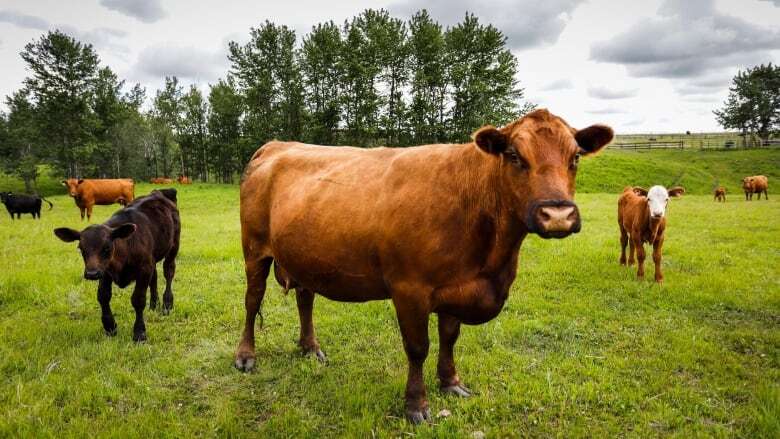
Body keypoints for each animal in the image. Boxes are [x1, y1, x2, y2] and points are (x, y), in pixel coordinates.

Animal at [235, 109, 612, 422]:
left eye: (575, 157)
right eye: (515, 156)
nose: (558, 215)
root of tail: (275, 145)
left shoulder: (457, 288)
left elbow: (449, 337)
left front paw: (451, 382)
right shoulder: (409, 289)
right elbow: (418, 348)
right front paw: (416, 405)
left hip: (306, 255)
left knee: (305, 298)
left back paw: (310, 348)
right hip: (254, 249)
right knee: (252, 301)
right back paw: (246, 356)